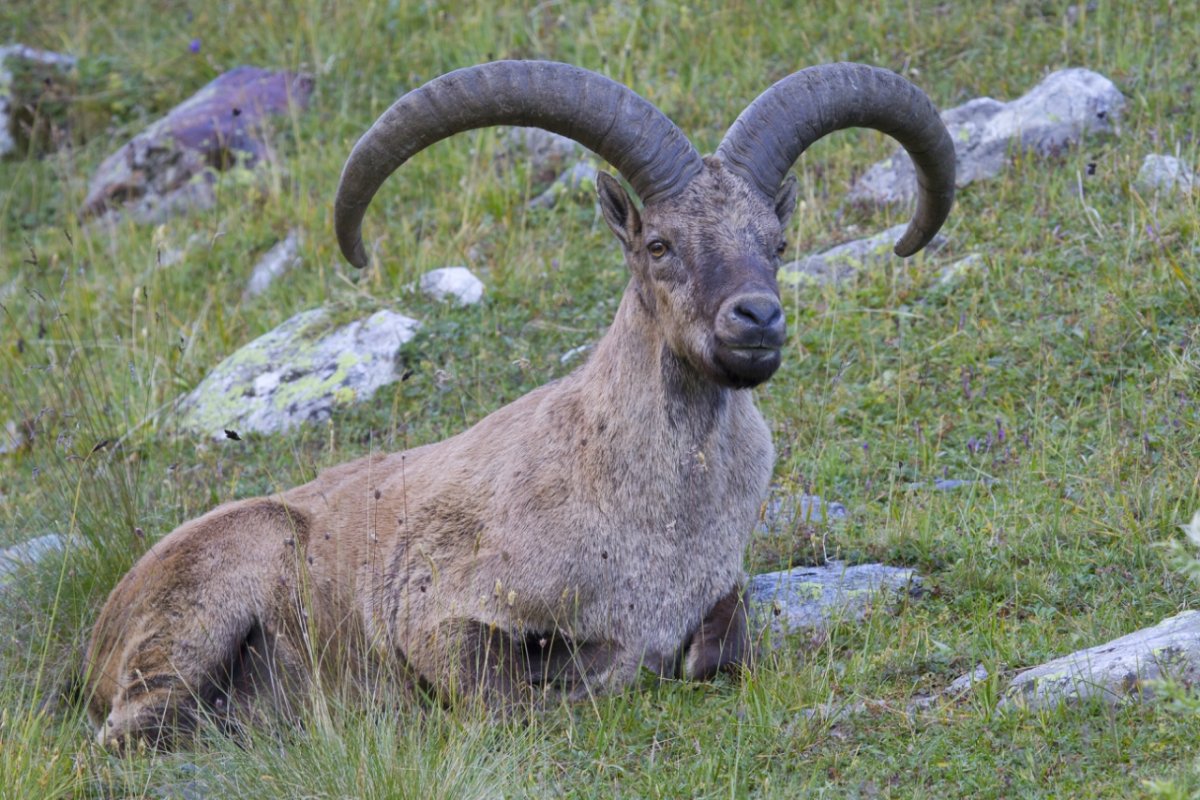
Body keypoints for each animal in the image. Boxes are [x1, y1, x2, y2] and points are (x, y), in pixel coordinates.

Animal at [84, 60, 954, 749]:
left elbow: (716, 653)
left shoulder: (718, 598)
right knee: (135, 730)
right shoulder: (438, 611)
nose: (757, 320)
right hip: (223, 582)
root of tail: (99, 633)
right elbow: (516, 695)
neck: (653, 516)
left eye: (776, 242)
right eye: (659, 244)